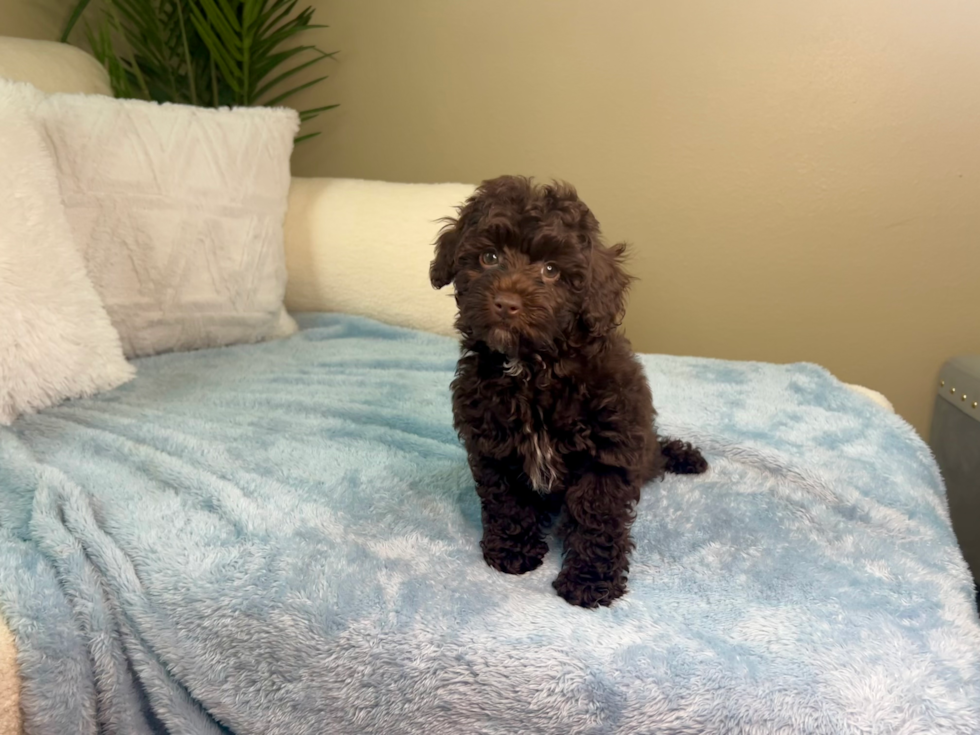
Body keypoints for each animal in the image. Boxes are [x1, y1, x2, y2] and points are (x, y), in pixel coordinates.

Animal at [432, 175, 708, 608]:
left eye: (551, 270)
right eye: (489, 257)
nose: (506, 303)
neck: (532, 369)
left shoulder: (606, 451)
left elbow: (595, 515)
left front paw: (589, 580)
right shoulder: (495, 442)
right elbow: (507, 499)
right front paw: (513, 551)